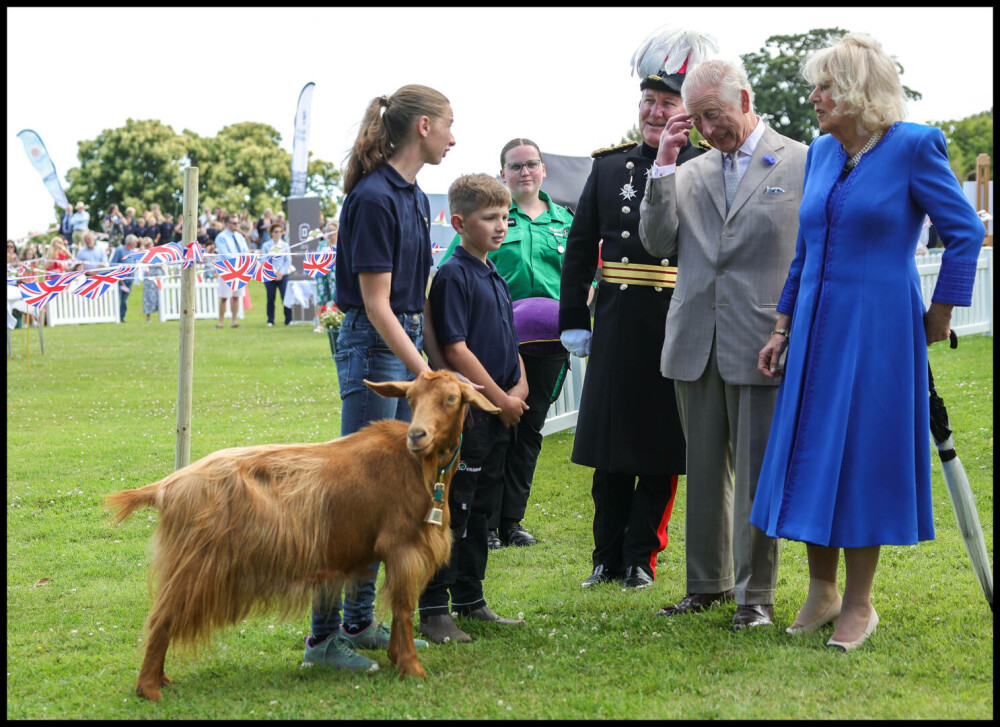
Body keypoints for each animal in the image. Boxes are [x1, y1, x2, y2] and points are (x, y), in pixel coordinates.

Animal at [107, 370, 498, 700]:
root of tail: (166, 487)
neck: (418, 466)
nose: (417, 435)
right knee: (161, 619)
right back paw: (149, 689)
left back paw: (160, 680)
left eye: (451, 398)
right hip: (194, 564)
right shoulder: (404, 547)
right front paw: (412, 668)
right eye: (412, 399)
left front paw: (396, 657)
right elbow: (404, 608)